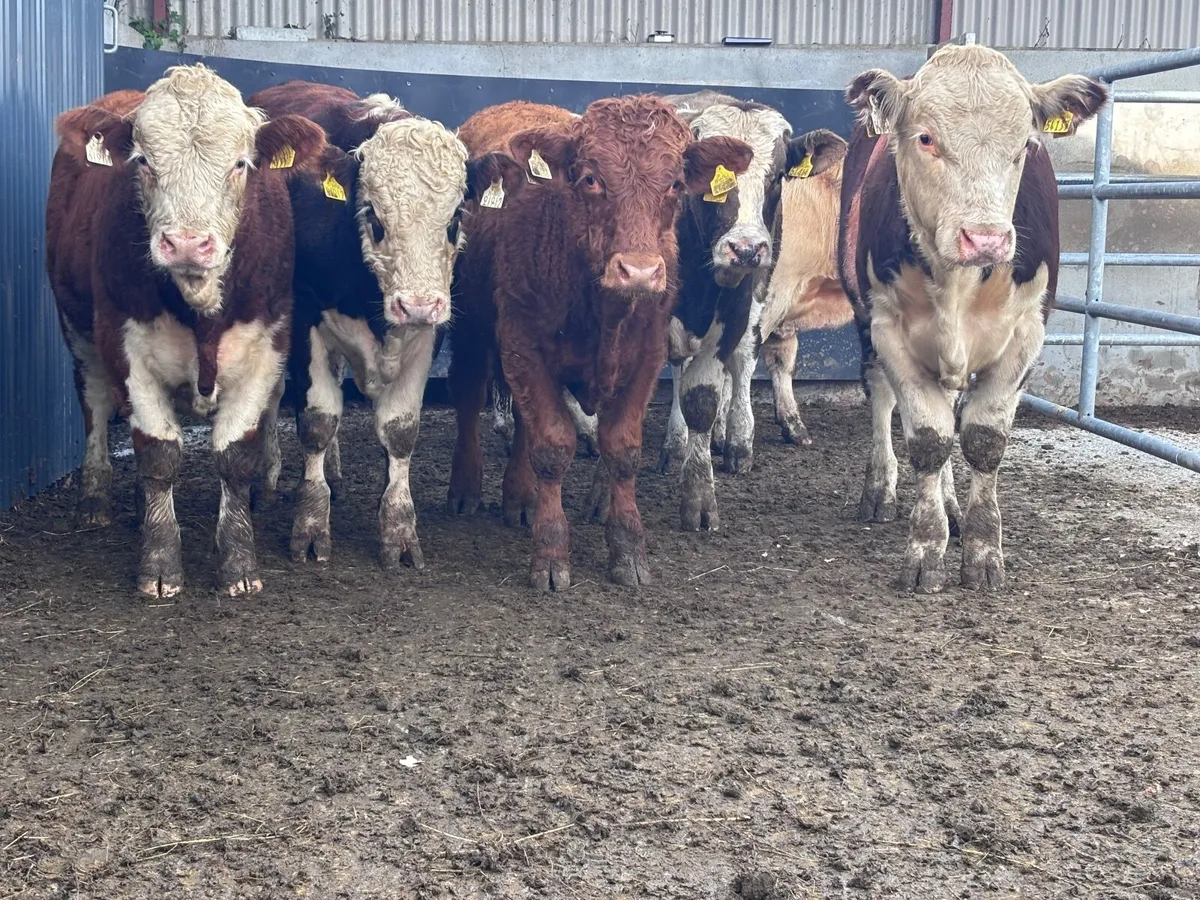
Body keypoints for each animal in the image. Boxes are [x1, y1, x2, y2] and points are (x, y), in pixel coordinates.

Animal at [49, 64, 327, 597]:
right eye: (142, 160)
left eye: (241, 164)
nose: (187, 243)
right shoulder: (125, 346)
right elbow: (159, 454)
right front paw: (159, 564)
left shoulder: (266, 346)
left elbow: (234, 456)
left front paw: (238, 564)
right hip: (76, 327)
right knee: (95, 402)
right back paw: (94, 501)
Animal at [247, 82, 469, 570]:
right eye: (373, 216)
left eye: (455, 220)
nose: (417, 305)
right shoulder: (305, 318)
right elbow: (316, 420)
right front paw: (311, 525)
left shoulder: (428, 335)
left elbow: (400, 431)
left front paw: (399, 530)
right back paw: (266, 479)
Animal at [448, 97, 752, 590]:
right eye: (591, 178)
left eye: (674, 183)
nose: (640, 271)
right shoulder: (523, 347)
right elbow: (553, 446)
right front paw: (551, 553)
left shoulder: (646, 356)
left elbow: (623, 451)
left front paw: (628, 549)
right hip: (471, 327)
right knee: (470, 395)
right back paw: (465, 487)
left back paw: (520, 497)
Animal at [838, 44, 1106, 593]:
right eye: (925, 138)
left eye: (1025, 144)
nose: (985, 239)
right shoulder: (889, 329)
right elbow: (928, 440)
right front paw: (926, 549)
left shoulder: (1027, 332)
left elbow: (982, 440)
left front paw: (982, 550)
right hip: (865, 322)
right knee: (882, 398)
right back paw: (881, 490)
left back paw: (953, 508)